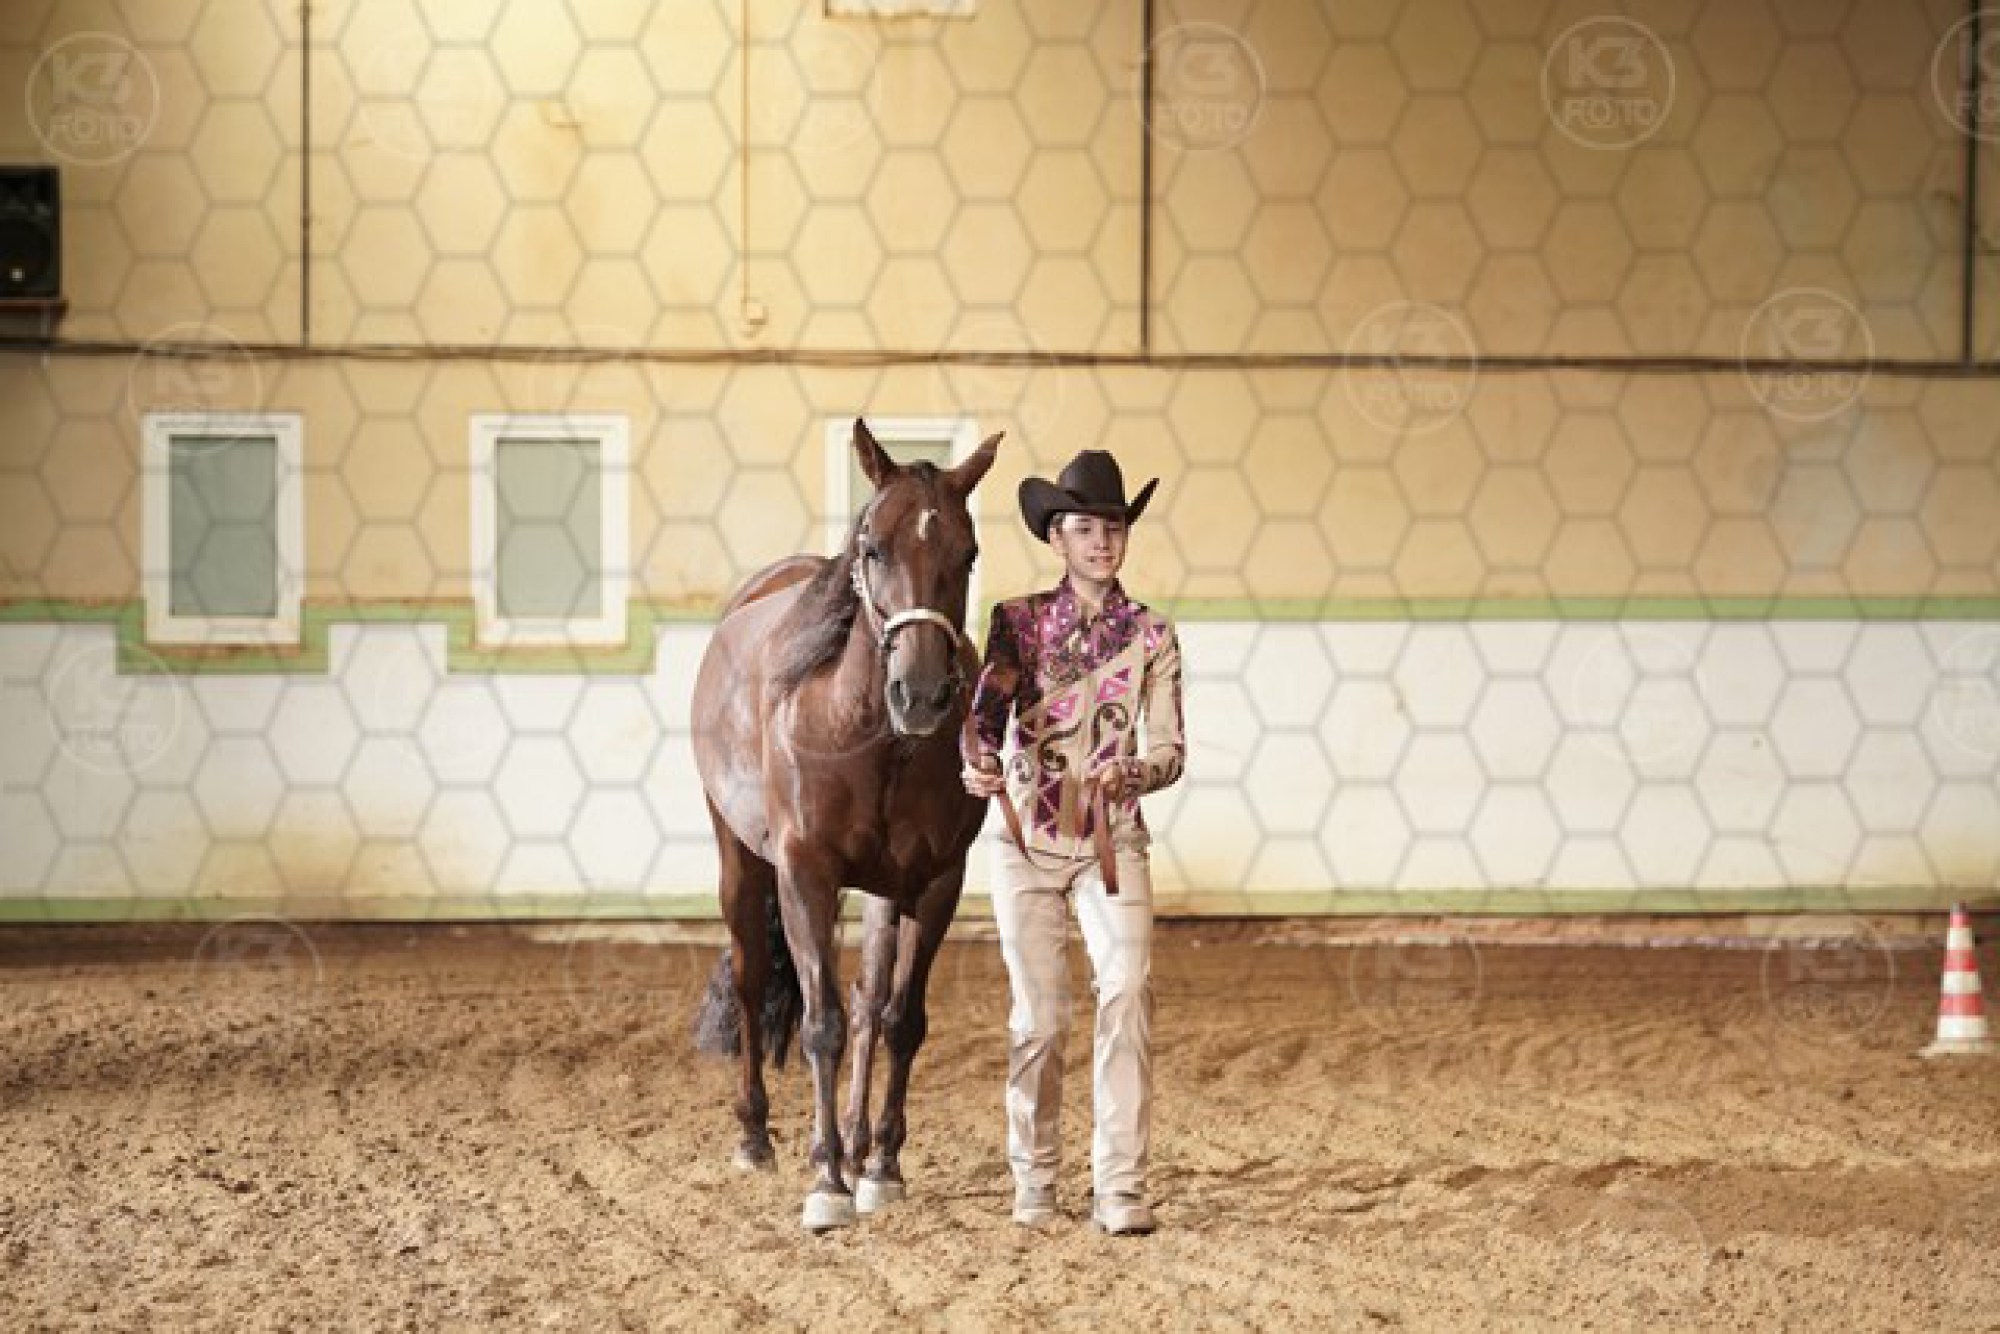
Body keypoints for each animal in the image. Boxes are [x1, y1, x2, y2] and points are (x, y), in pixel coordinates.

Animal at [690, 417, 1000, 1231]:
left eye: (968, 553)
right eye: (874, 548)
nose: (920, 693)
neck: (870, 739)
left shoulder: (934, 883)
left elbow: (898, 1018)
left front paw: (881, 1166)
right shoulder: (805, 874)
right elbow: (820, 1022)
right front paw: (827, 1180)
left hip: (883, 893)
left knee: (868, 1002)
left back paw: (859, 1146)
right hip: (740, 861)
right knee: (752, 979)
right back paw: (757, 1136)